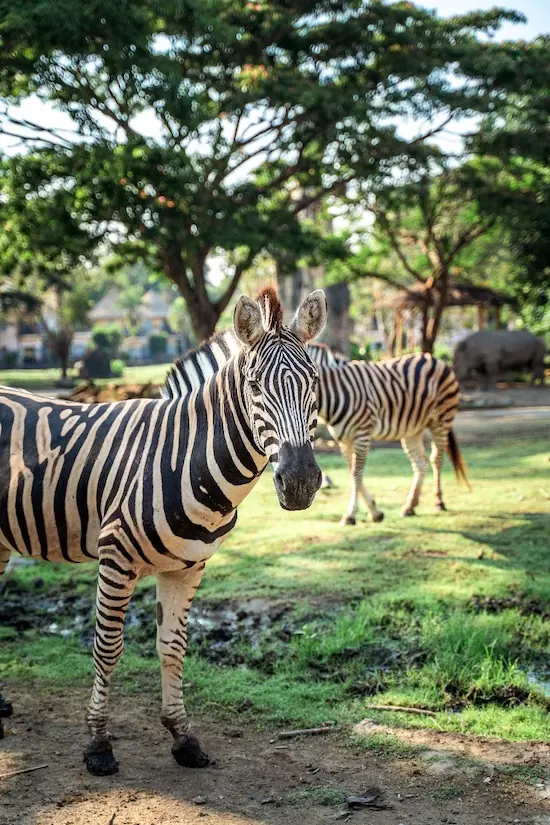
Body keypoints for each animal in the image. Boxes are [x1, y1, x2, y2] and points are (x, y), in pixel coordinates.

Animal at [0, 287, 327, 774]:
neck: (188, 455)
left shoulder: (187, 566)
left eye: (313, 384)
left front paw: (183, 737)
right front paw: (98, 744)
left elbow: (173, 646)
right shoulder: (115, 557)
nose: (301, 481)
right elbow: (108, 646)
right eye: (254, 387)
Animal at [306, 344, 470, 525]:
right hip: (412, 429)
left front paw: (351, 514)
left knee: (437, 459)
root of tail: (434, 358)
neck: (335, 391)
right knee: (421, 463)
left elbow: (357, 473)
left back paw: (438, 502)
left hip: (441, 420)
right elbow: (352, 472)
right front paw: (375, 512)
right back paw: (410, 506)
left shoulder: (362, 433)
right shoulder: (343, 439)